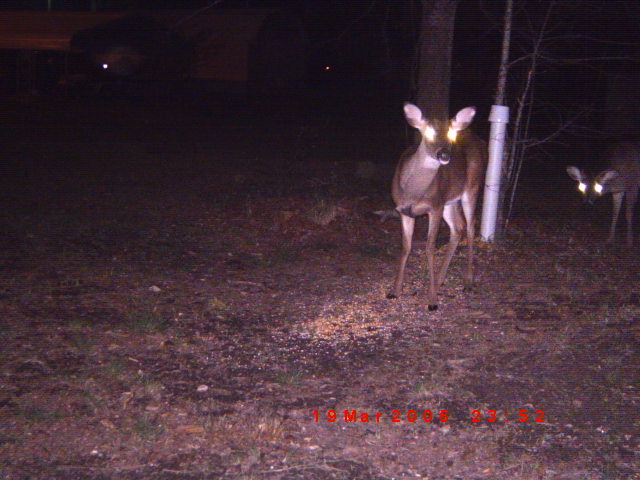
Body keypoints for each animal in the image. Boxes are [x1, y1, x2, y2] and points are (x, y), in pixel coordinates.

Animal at [386, 103, 488, 310]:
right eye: (429, 131)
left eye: (451, 133)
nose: (444, 154)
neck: (413, 192)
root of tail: (480, 141)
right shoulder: (403, 211)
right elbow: (406, 246)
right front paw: (394, 291)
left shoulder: (434, 207)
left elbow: (429, 247)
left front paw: (432, 301)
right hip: (449, 201)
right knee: (458, 227)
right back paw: (440, 280)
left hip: (471, 188)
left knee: (471, 228)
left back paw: (467, 282)